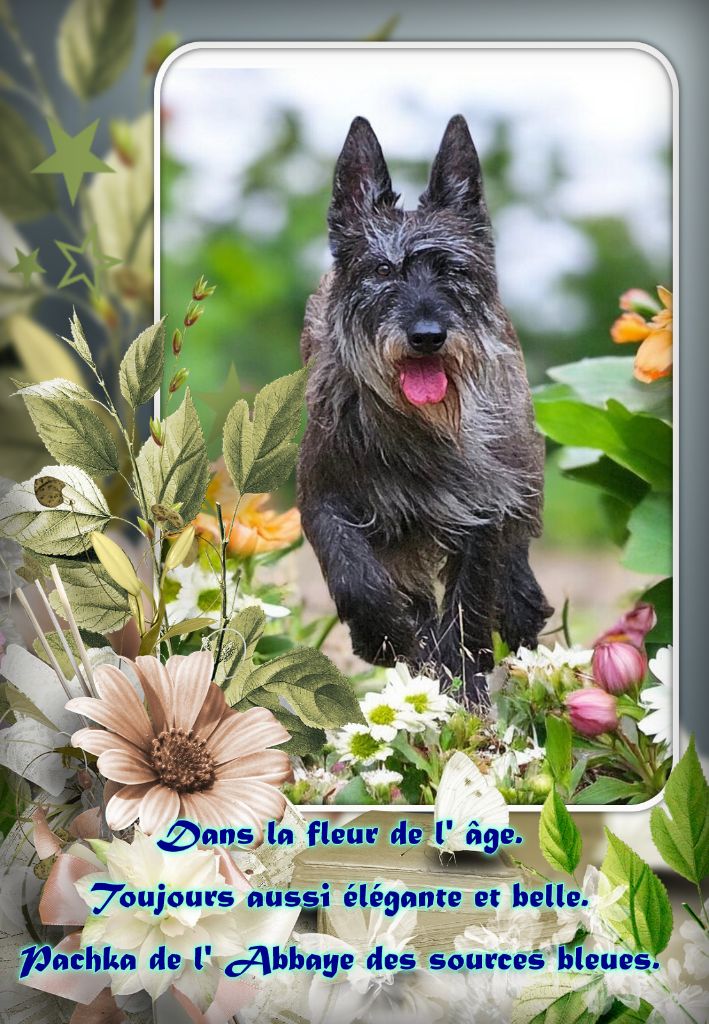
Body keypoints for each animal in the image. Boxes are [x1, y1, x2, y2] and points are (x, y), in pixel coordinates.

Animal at [297, 114, 549, 704]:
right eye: (382, 270)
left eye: (451, 269)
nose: (428, 336)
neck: (414, 426)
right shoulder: (323, 498)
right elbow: (357, 577)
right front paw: (383, 637)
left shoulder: (483, 510)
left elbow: (469, 606)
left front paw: (465, 692)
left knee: (509, 578)